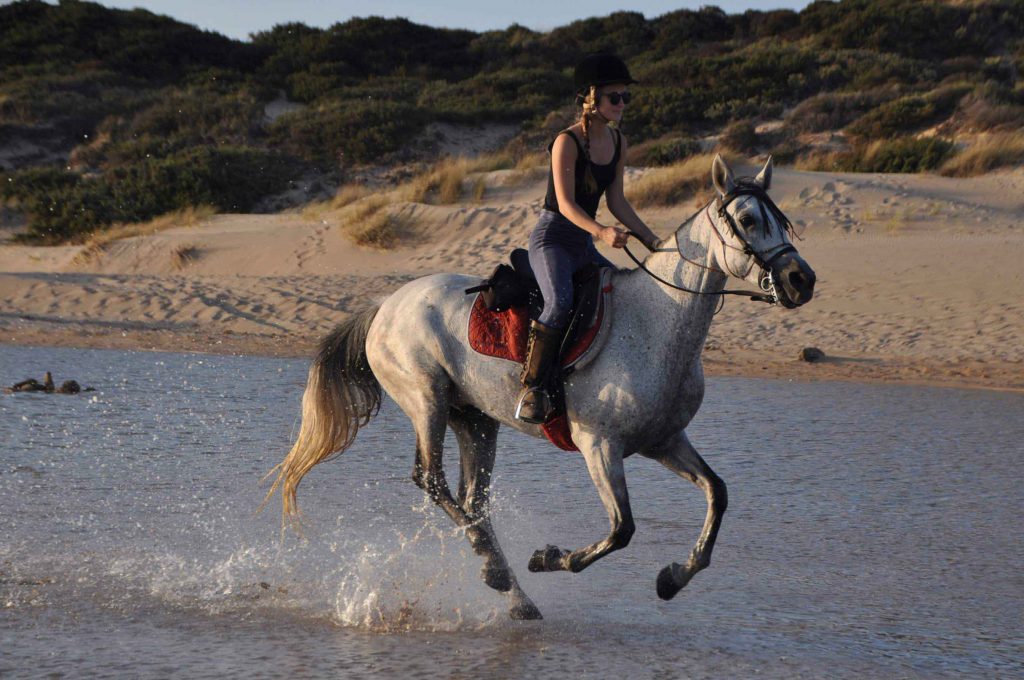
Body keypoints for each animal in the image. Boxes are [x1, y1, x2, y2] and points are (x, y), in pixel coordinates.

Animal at [264, 155, 815, 622]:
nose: (800, 279)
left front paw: (672, 579)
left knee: (474, 502)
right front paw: (550, 558)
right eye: (747, 220)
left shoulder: (663, 441)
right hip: (427, 401)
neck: (657, 322)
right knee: (432, 481)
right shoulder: (599, 445)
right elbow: (621, 530)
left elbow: (717, 494)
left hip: (475, 420)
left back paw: (511, 591)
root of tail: (385, 305)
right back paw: (499, 571)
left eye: (782, 220)